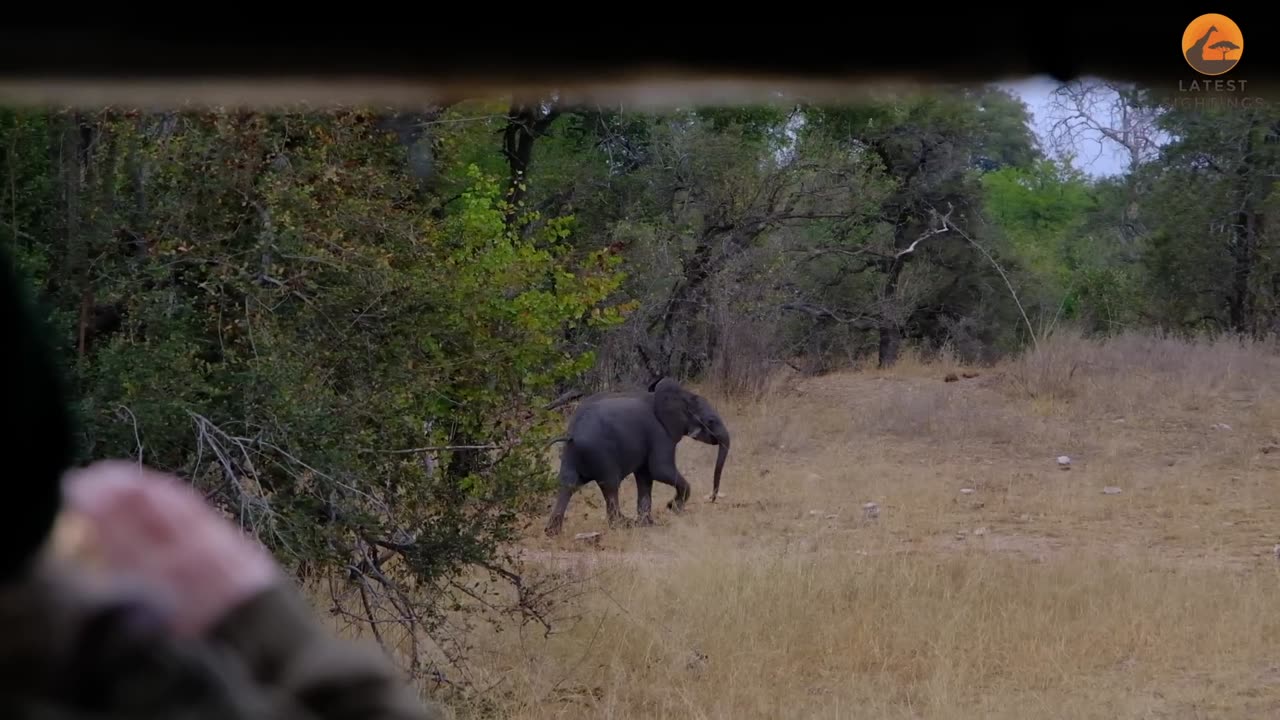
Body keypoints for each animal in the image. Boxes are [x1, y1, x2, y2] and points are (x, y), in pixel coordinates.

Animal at [545, 376, 737, 532]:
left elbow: (645, 477)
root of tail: (573, 434)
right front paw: (672, 508)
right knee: (610, 485)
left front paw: (648, 524)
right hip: (600, 453)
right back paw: (623, 525)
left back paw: (552, 532)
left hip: (570, 454)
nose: (712, 499)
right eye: (710, 421)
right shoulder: (660, 434)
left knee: (568, 484)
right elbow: (661, 471)